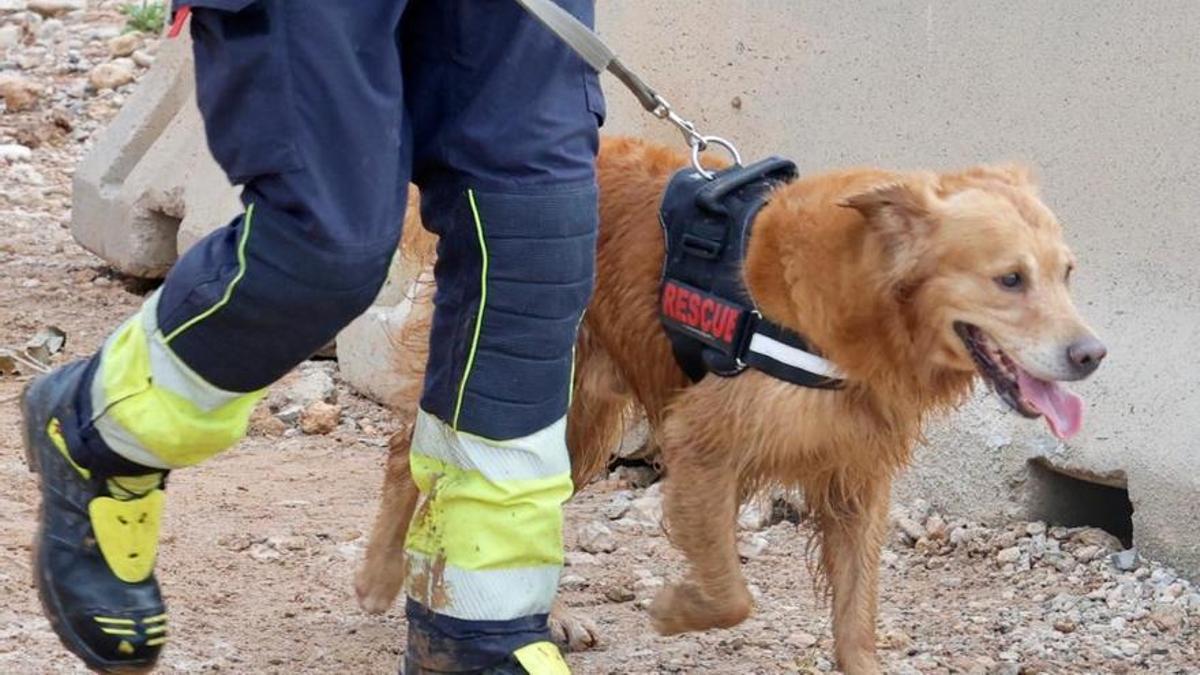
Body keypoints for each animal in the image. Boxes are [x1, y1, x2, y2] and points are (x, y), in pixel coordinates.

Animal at [352, 135, 1104, 667]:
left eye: (1068, 273)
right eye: (1010, 279)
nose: (1091, 355)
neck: (856, 301)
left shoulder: (855, 476)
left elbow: (856, 614)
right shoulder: (703, 440)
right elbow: (733, 595)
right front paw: (675, 609)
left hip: (580, 419)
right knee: (405, 457)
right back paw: (382, 575)